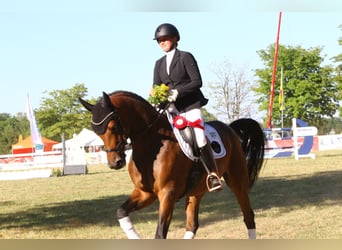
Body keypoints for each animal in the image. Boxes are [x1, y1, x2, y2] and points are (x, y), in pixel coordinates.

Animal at [79, 91, 264, 239]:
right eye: (97, 132)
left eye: (113, 127)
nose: (115, 163)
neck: (151, 145)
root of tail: (229, 128)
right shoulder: (145, 193)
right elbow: (121, 212)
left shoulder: (167, 194)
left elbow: (160, 234)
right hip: (196, 190)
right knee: (192, 225)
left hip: (237, 181)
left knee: (248, 216)